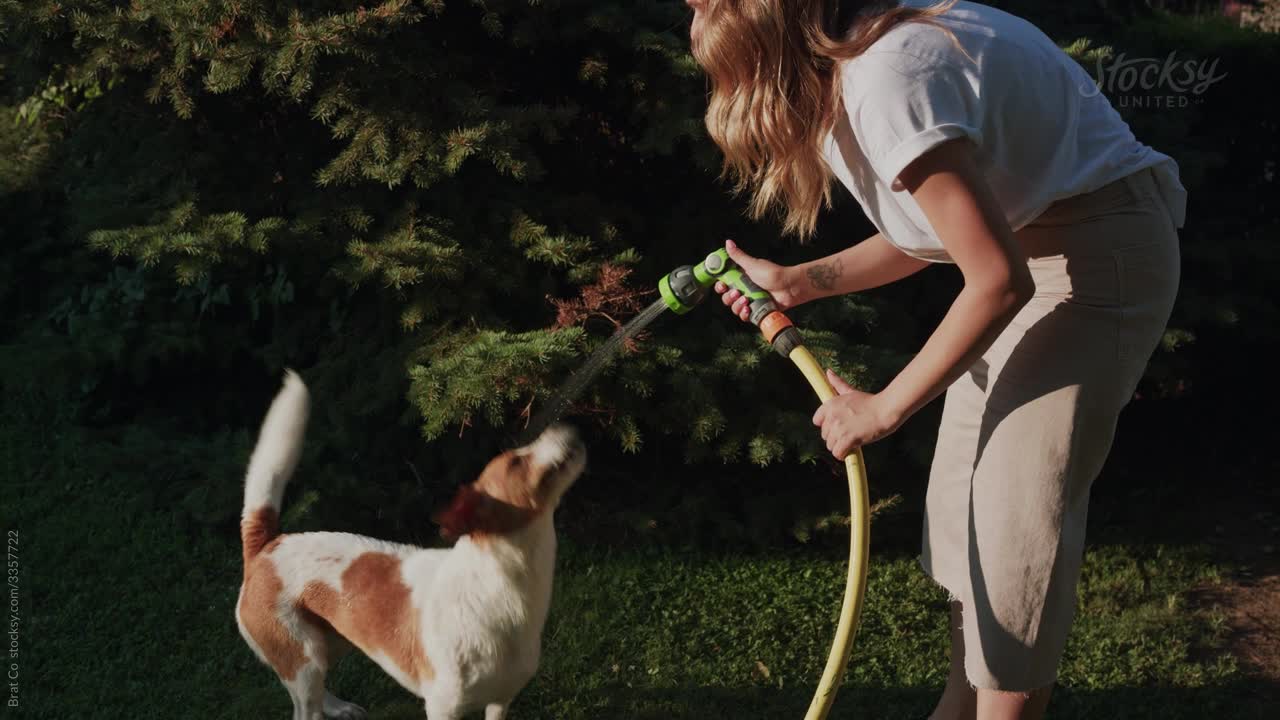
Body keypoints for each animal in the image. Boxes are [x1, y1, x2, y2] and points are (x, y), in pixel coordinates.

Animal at [235, 368, 586, 717]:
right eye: (516, 463)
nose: (568, 421)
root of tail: (267, 544)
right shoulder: (443, 707)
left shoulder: (502, 699)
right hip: (302, 661)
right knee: (305, 705)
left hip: (332, 640)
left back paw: (339, 707)